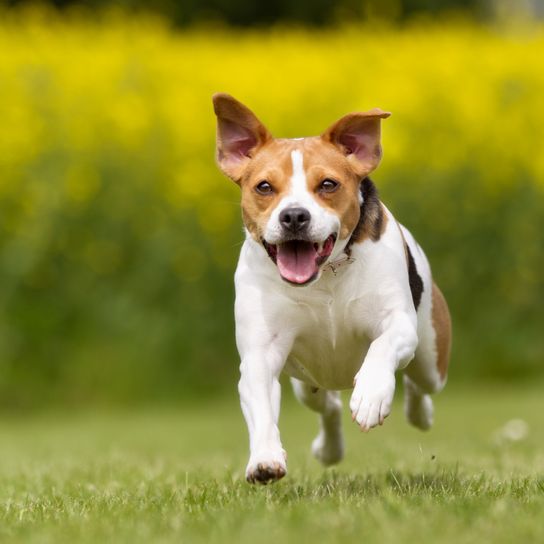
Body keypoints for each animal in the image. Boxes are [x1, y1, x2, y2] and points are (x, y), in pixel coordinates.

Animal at [211, 93, 450, 484]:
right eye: (264, 187)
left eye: (327, 184)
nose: (294, 215)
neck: (324, 277)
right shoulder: (261, 354)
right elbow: (261, 405)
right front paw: (264, 459)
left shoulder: (398, 323)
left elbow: (383, 346)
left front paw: (371, 394)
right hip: (308, 384)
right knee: (329, 407)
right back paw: (329, 449)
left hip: (431, 355)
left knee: (418, 381)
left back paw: (420, 413)